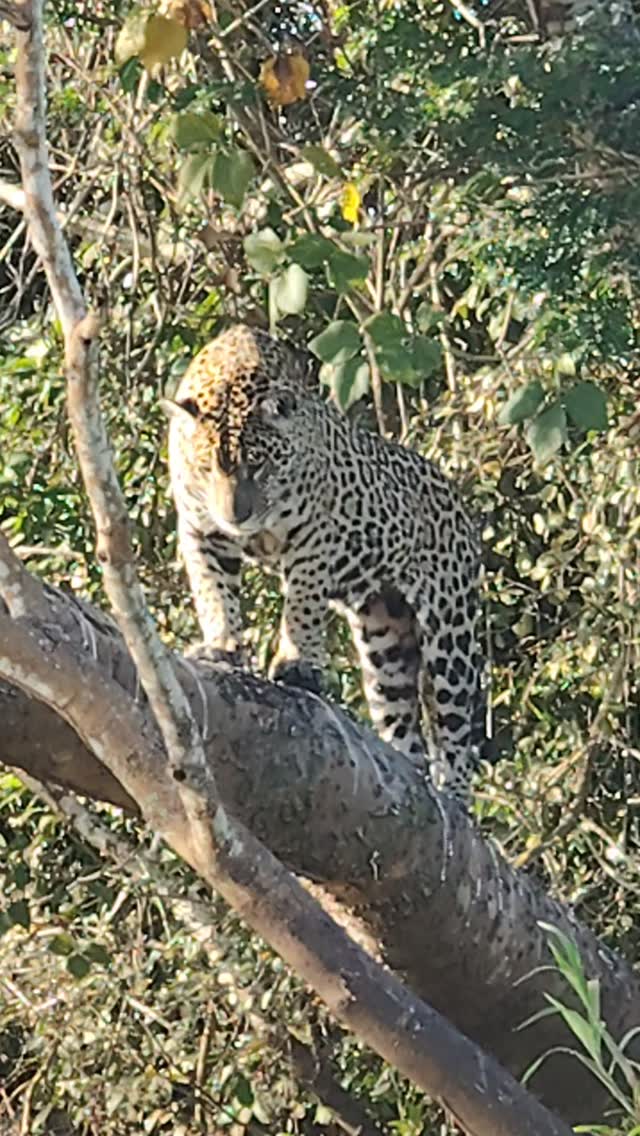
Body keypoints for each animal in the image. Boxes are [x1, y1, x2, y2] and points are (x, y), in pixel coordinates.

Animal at [162, 323, 487, 800]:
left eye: (257, 463)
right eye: (207, 467)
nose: (236, 515)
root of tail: (459, 502)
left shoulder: (312, 537)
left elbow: (302, 604)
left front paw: (297, 664)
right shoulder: (201, 532)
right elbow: (212, 593)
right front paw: (221, 646)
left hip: (450, 629)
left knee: (456, 729)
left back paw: (455, 795)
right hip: (384, 639)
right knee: (403, 723)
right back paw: (407, 770)